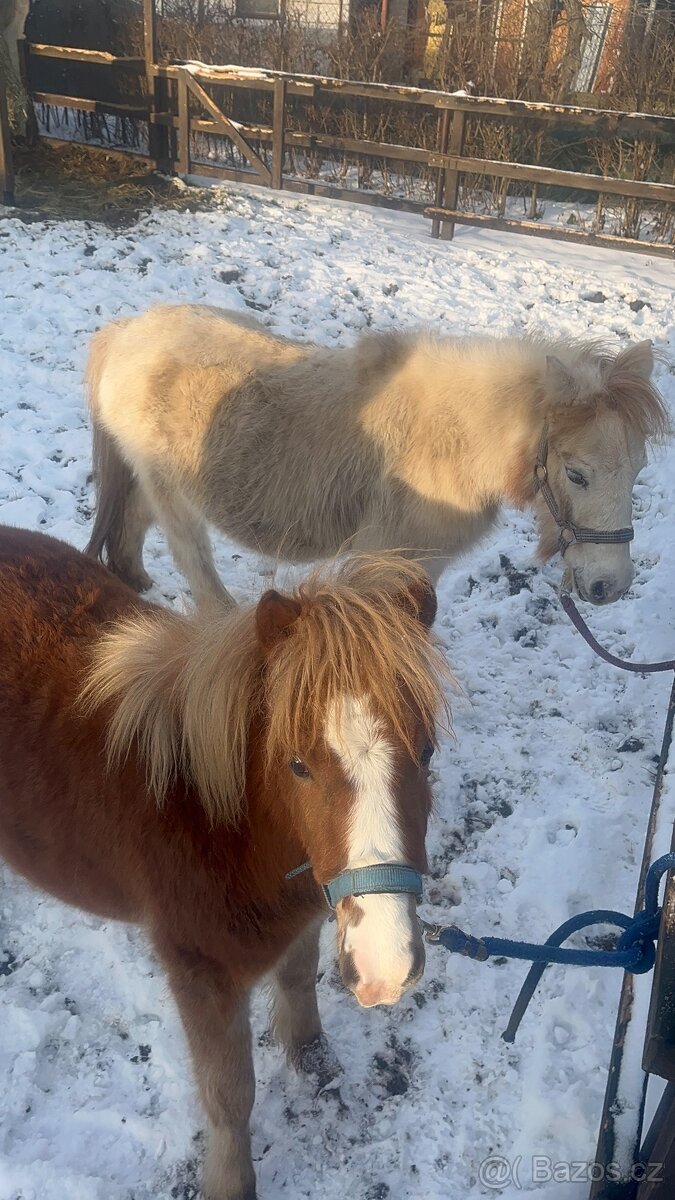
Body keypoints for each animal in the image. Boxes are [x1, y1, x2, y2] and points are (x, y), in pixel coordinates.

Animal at [0, 526, 451, 1200]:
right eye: (297, 764)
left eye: (426, 751)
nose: (385, 968)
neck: (209, 814)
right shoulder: (202, 975)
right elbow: (230, 1094)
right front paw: (232, 1183)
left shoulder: (302, 919)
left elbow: (297, 981)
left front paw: (313, 1059)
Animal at [84, 305, 668, 611]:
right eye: (577, 474)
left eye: (638, 469)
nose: (610, 586)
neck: (453, 439)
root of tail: (126, 331)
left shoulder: (423, 565)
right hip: (173, 498)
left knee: (130, 530)